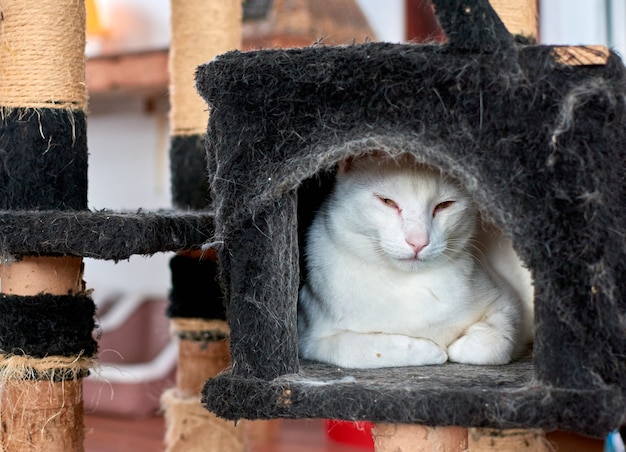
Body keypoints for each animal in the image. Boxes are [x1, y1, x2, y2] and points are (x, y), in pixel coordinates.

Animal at [298, 154, 532, 370]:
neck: (407, 285)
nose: (418, 242)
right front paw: (430, 350)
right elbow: (352, 350)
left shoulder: (508, 301)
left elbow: (494, 344)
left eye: (444, 205)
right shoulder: (309, 335)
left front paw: (458, 347)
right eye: (387, 202)